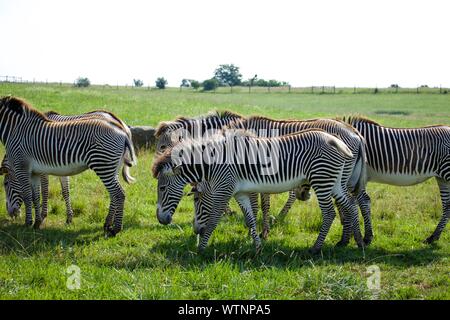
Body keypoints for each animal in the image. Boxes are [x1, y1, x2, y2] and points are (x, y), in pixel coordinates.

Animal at [0, 95, 136, 235]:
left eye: (5, 184)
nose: (11, 214)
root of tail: (121, 127)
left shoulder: (31, 169)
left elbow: (38, 193)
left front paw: (35, 220)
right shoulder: (48, 170)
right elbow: (53, 193)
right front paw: (60, 219)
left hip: (104, 166)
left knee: (118, 194)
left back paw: (115, 229)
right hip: (112, 167)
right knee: (114, 194)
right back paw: (108, 224)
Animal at [153, 129, 364, 254]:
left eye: (162, 188)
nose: (161, 220)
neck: (213, 163)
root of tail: (335, 140)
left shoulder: (223, 190)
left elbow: (213, 221)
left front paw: (201, 250)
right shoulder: (239, 193)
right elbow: (250, 219)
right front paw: (258, 248)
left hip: (321, 180)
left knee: (329, 213)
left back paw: (316, 248)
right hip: (335, 182)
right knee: (351, 205)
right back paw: (360, 243)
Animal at [227, 116, 368, 239]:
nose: (230, 213)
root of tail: (354, 131)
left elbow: (258, 205)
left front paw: (256, 232)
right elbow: (263, 204)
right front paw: (261, 231)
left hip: (340, 176)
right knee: (358, 200)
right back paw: (359, 237)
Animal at [340, 116, 448, 244]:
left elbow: (354, 204)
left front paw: (362, 237)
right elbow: (356, 203)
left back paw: (433, 237)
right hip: (442, 178)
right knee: (447, 206)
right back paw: (434, 236)